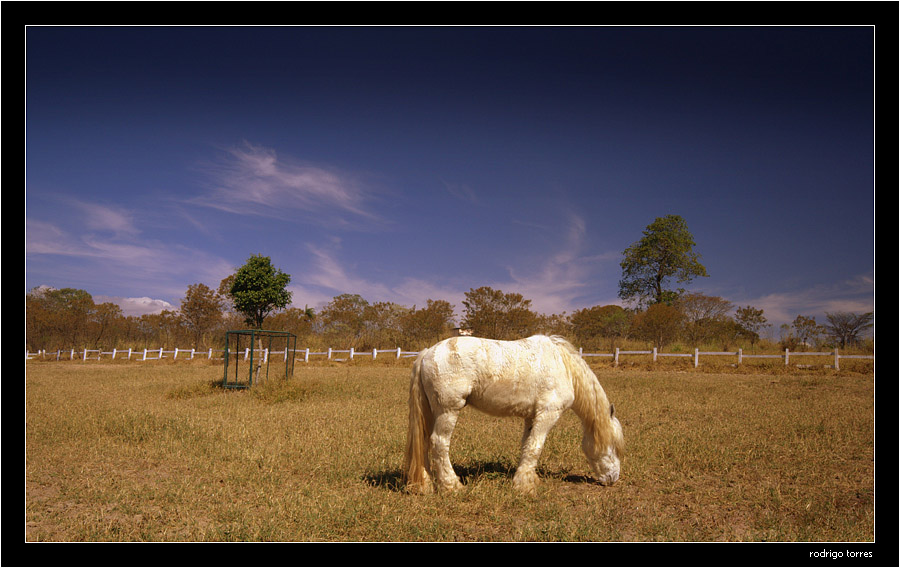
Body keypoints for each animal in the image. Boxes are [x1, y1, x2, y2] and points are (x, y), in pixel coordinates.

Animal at [402, 336, 624, 494]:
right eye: (614, 446)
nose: (613, 478)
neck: (563, 366)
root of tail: (427, 353)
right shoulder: (547, 414)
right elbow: (535, 447)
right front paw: (525, 486)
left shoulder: (531, 417)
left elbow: (527, 446)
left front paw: (525, 478)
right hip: (447, 411)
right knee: (439, 443)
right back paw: (451, 486)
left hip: (432, 413)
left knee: (424, 443)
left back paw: (425, 485)